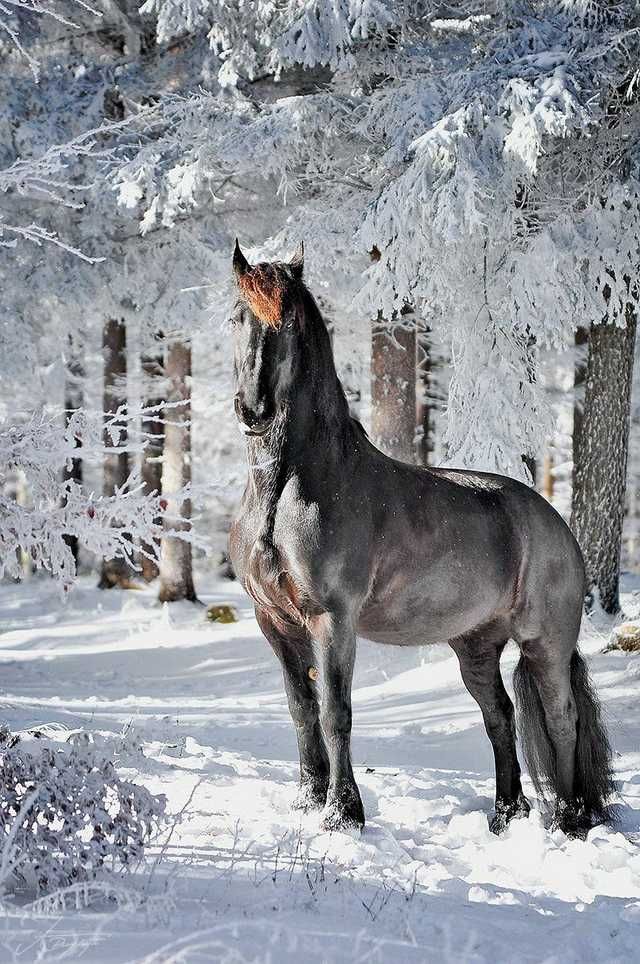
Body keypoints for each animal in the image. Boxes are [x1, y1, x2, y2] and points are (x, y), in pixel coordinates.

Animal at [230, 245, 616, 840]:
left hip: (544, 642)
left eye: (289, 323)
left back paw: (570, 820)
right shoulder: (273, 620)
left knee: (560, 717)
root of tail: (554, 522)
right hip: (475, 646)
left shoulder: (332, 619)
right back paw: (505, 814)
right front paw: (309, 801)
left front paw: (343, 813)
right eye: (236, 318)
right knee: (500, 716)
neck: (290, 488)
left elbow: (334, 711)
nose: (254, 409)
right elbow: (301, 709)